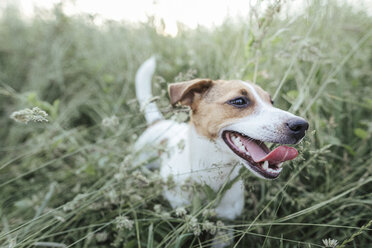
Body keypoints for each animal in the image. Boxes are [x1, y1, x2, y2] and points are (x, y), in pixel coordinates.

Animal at [134, 56, 308, 242]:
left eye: (271, 102)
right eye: (239, 101)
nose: (302, 126)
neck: (212, 173)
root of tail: (157, 122)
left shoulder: (225, 225)